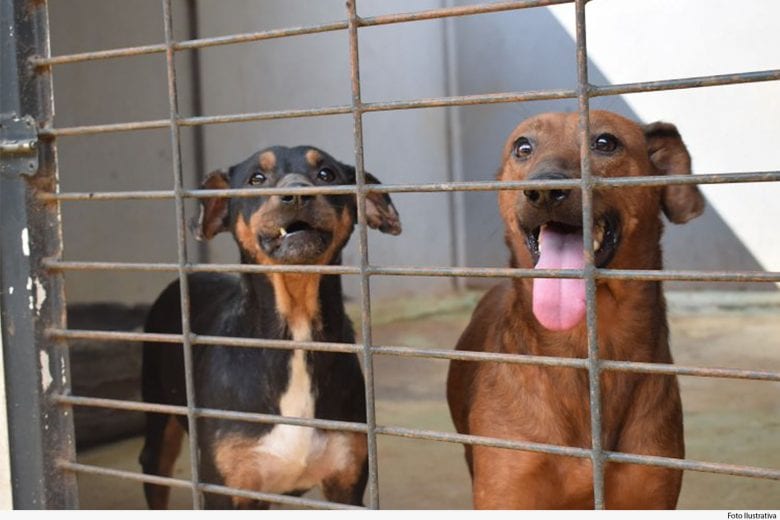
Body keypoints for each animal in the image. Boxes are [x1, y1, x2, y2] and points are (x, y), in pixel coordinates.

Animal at [138, 145, 402, 508]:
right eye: (256, 178)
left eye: (327, 174)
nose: (298, 195)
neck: (295, 327)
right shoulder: (225, 488)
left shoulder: (346, 484)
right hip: (159, 423)